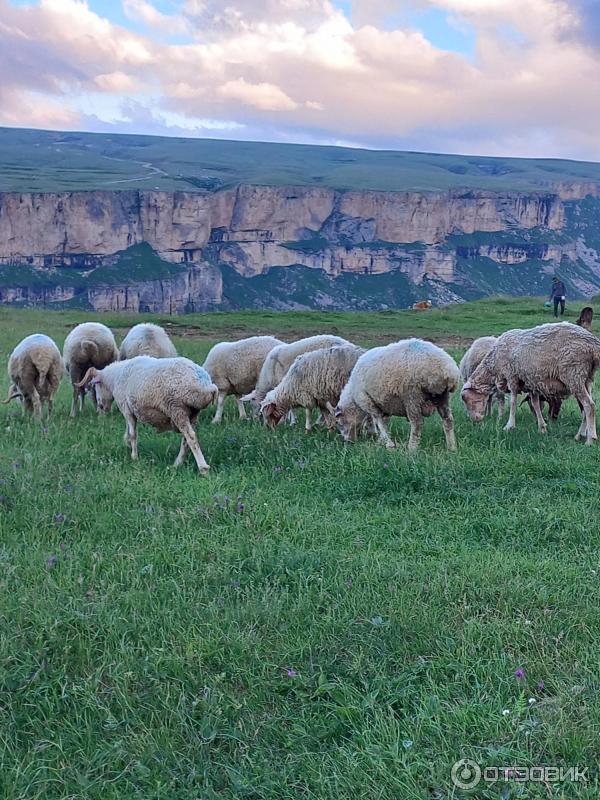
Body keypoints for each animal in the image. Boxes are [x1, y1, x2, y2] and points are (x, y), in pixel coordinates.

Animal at [332, 338, 460, 450]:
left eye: (338, 422)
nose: (348, 442)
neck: (353, 399)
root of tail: (447, 370)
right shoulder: (384, 404)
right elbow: (385, 423)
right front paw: (382, 441)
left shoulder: (368, 402)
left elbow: (378, 421)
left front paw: (389, 444)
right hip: (442, 396)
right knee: (448, 420)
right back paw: (452, 447)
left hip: (412, 395)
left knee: (417, 422)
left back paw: (411, 449)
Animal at [460, 320, 600, 444]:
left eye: (469, 400)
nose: (475, 421)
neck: (494, 364)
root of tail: (593, 344)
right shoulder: (531, 383)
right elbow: (535, 404)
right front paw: (542, 428)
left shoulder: (512, 376)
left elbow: (513, 402)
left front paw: (509, 426)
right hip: (586, 379)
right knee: (584, 408)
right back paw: (579, 435)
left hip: (574, 374)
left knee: (589, 405)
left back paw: (590, 439)